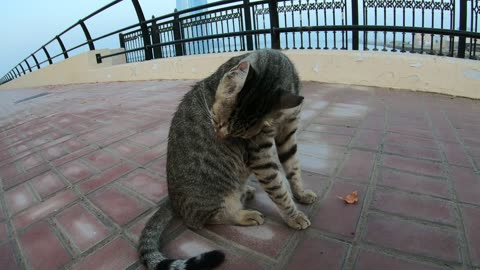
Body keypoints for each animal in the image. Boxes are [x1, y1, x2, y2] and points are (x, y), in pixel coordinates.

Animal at [139, 48, 316, 270]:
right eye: (216, 120)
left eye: (240, 135)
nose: (222, 137)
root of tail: (171, 199)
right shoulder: (259, 153)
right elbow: (277, 188)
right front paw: (293, 216)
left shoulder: (288, 133)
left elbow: (293, 169)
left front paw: (300, 194)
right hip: (215, 193)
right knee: (201, 219)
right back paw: (245, 215)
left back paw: (246, 191)